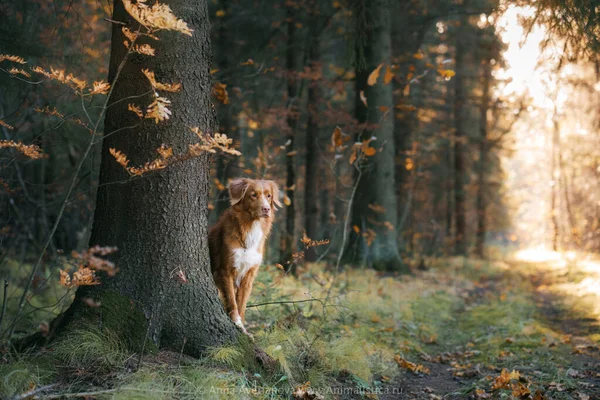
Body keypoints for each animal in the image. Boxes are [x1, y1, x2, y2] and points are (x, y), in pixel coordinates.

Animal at [207, 178, 280, 334]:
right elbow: (232, 300)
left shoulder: (249, 274)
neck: (251, 227)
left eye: (269, 196)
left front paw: (243, 328)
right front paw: (237, 322)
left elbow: (242, 303)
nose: (266, 209)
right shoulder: (225, 271)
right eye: (253, 195)